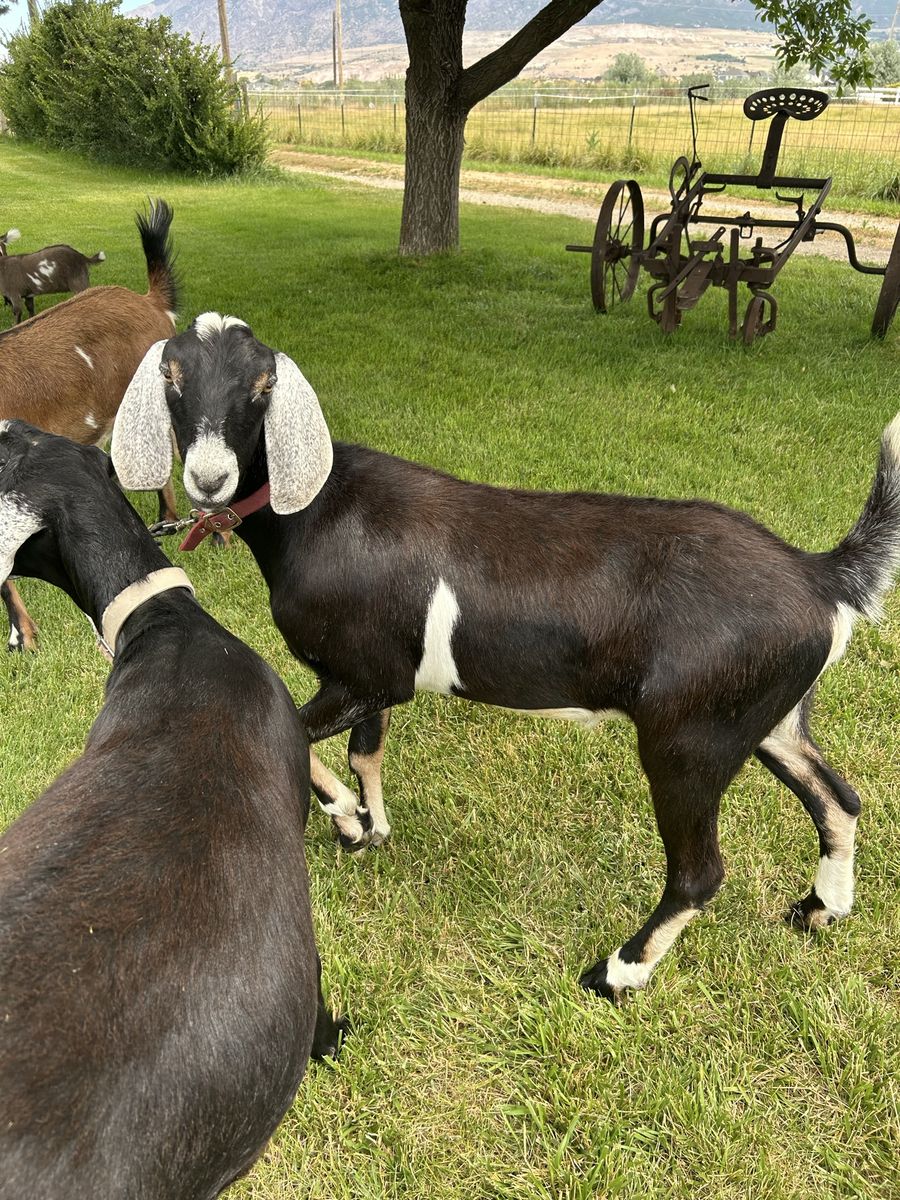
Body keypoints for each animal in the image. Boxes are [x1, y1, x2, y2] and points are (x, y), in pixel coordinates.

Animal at [111, 313, 900, 1003]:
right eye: (172, 378)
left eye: (263, 386)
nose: (209, 478)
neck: (316, 508)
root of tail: (821, 577)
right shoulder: (376, 684)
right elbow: (368, 751)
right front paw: (372, 827)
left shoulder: (362, 675)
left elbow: (301, 739)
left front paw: (347, 821)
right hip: (768, 718)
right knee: (838, 797)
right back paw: (820, 910)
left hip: (690, 739)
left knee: (702, 872)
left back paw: (617, 973)